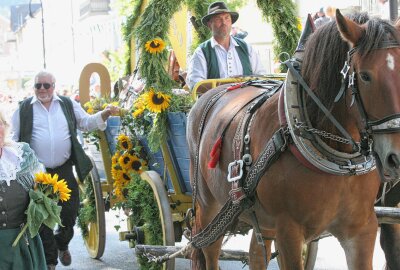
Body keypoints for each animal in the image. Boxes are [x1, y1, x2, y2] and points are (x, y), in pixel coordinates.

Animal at [188, 9, 400, 268]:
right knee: (209, 248)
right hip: (209, 205)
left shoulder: (362, 229)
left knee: (256, 253)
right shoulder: (288, 232)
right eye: (365, 76)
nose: (396, 158)